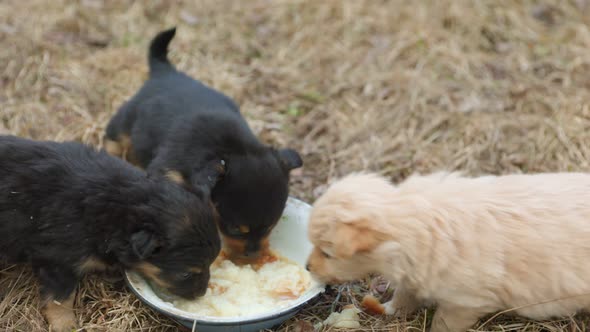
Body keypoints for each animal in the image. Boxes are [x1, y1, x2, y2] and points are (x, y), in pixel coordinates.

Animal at [103, 27, 302, 258]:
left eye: (270, 227)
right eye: (235, 229)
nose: (252, 256)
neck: (230, 148)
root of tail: (166, 72)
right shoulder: (167, 170)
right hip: (125, 120)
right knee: (113, 138)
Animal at [308, 172, 590, 330]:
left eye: (327, 253)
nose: (307, 267)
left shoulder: (464, 302)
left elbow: (442, 323)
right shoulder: (412, 276)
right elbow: (403, 296)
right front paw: (389, 309)